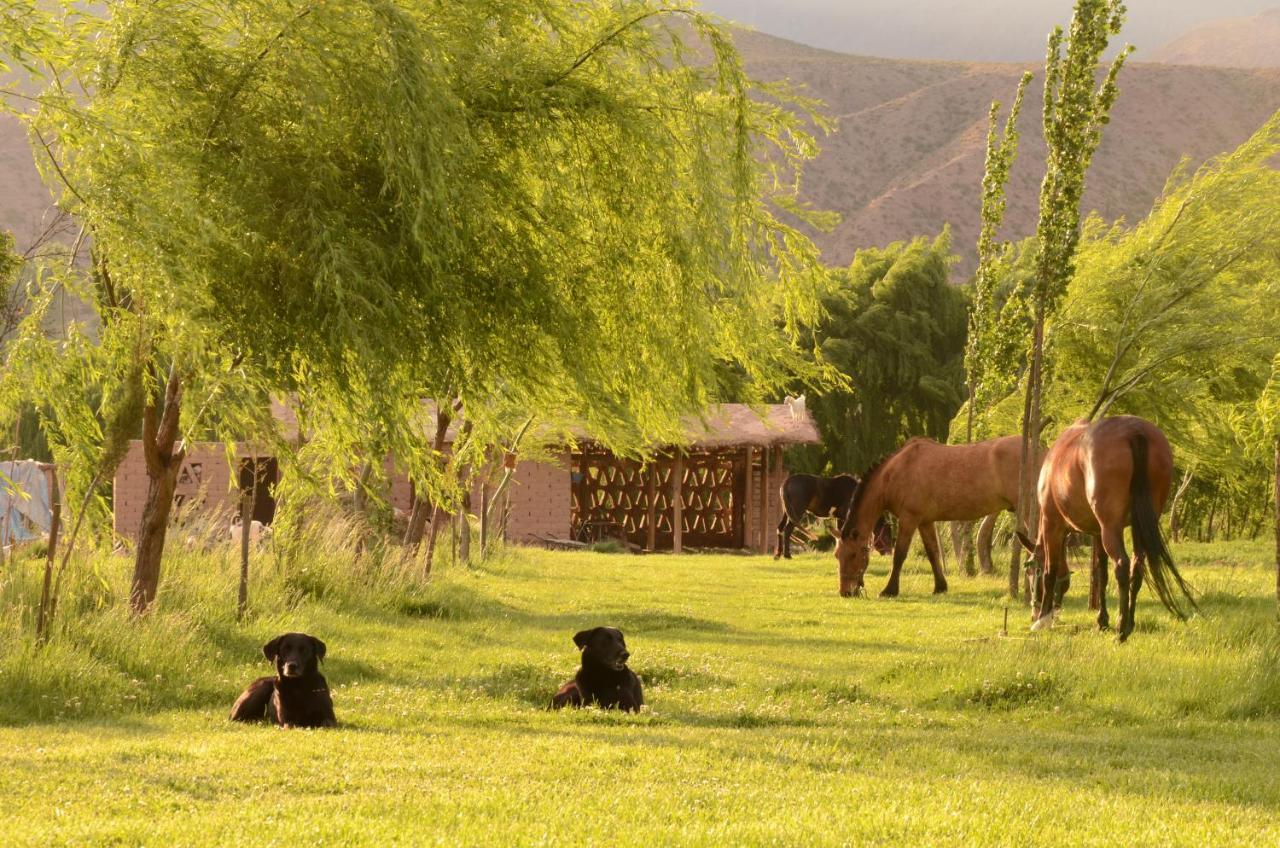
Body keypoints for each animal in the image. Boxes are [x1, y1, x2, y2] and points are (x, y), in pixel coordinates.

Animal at [834, 438, 1024, 596]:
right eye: (837, 555)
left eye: (852, 555)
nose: (846, 592)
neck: (897, 471)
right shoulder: (925, 522)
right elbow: (933, 553)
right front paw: (940, 587)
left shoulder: (909, 519)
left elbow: (899, 555)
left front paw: (890, 590)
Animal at [1013, 417, 1192, 645]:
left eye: (1029, 570)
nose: (1033, 611)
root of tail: (1134, 430)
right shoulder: (1098, 533)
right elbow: (1101, 574)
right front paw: (1102, 621)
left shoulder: (1052, 523)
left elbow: (1050, 570)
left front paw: (1043, 620)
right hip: (1137, 525)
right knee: (1136, 567)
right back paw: (1128, 624)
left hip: (1111, 527)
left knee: (1122, 565)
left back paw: (1121, 630)